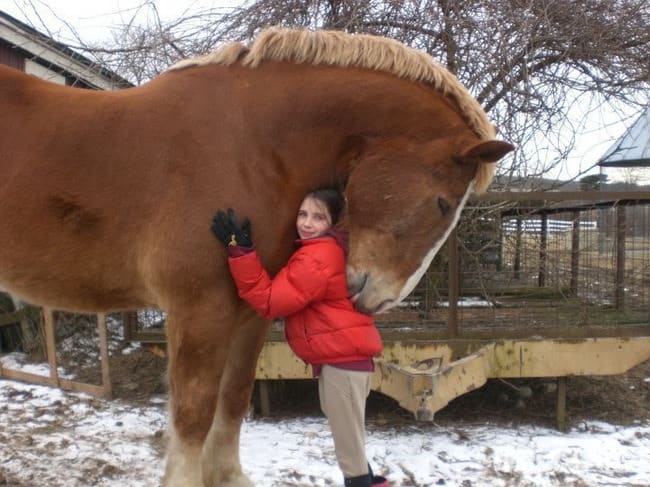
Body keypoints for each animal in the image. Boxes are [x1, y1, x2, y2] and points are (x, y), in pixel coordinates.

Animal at [0, 27, 513, 486]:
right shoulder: (200, 311)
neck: (250, 146)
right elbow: (193, 415)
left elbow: (233, 401)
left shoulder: (249, 312)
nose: (379, 300)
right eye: (443, 203)